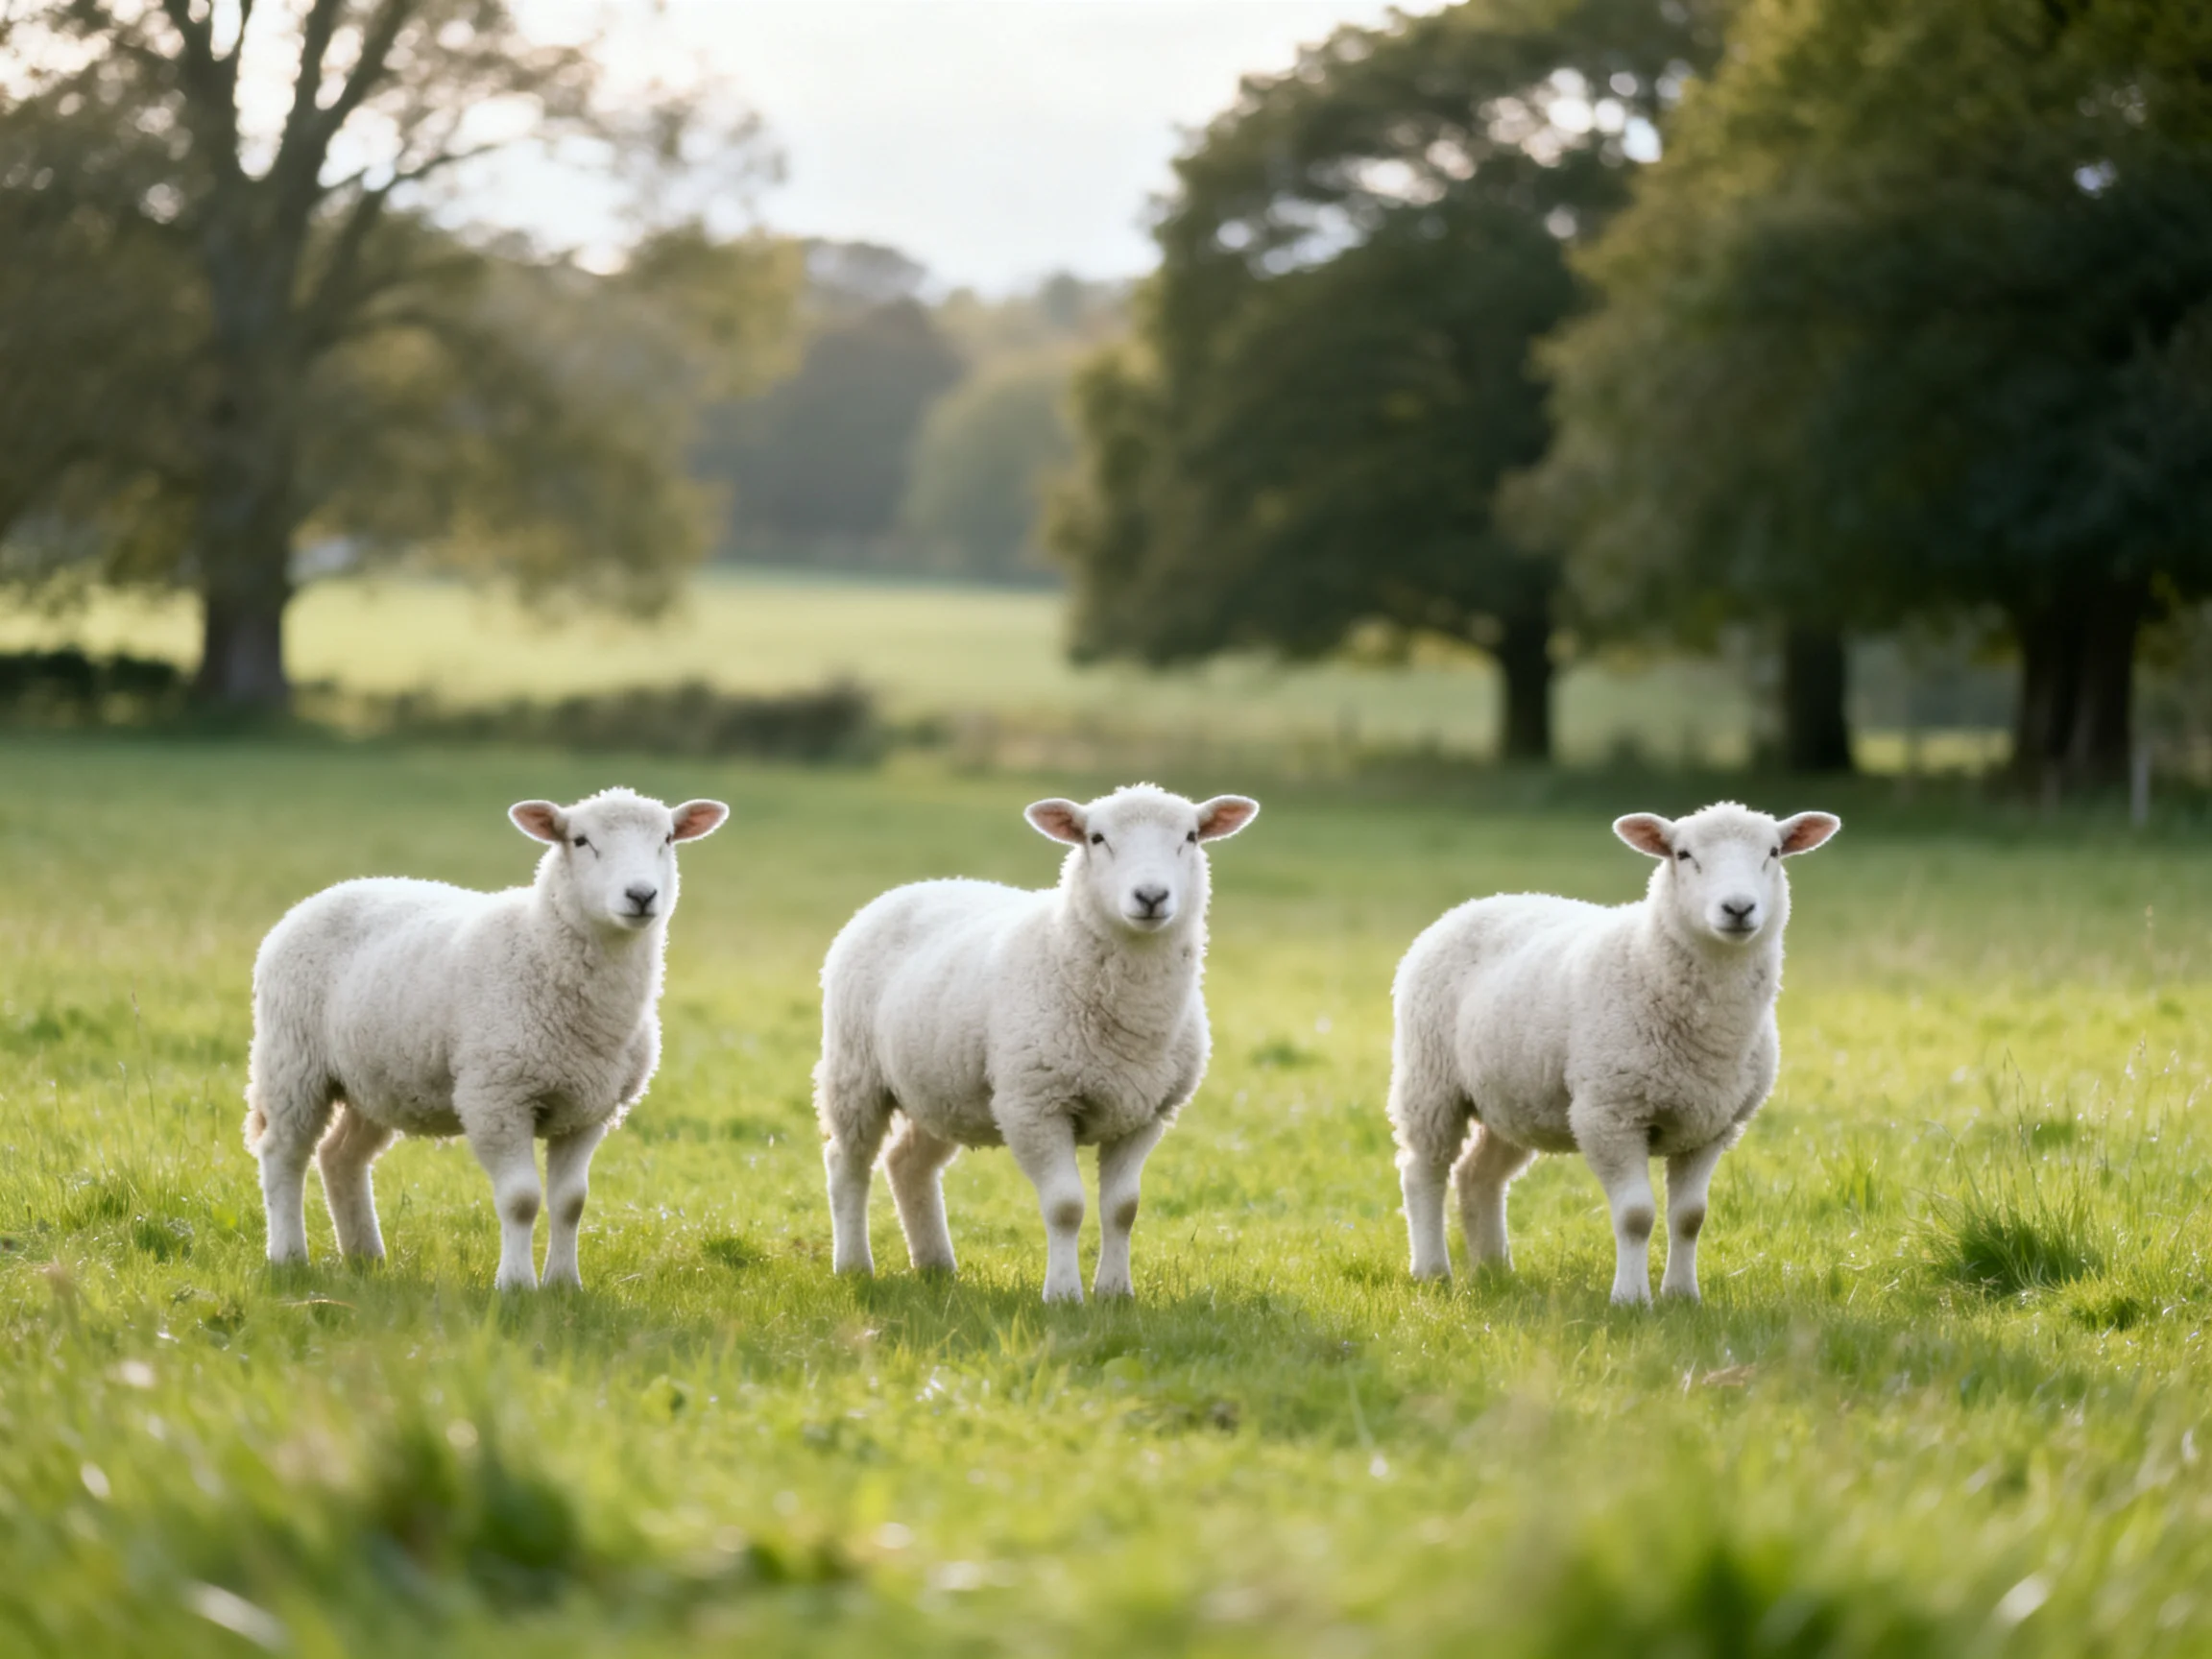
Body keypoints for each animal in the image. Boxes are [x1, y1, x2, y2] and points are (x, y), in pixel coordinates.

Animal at [243, 788, 728, 1290]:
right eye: (580, 840)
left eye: (667, 838)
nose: (641, 895)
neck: (539, 945)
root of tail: (323, 895)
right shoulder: (497, 1098)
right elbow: (521, 1199)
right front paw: (516, 1285)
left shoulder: (588, 1109)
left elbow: (571, 1202)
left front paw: (564, 1285)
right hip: (292, 1060)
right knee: (283, 1152)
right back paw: (288, 1256)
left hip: (374, 1078)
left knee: (340, 1156)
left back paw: (365, 1257)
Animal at [814, 784, 1259, 1303]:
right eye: (1096, 838)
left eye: (1190, 837)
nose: (1151, 896)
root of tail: (912, 887)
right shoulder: (1034, 1104)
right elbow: (1066, 1206)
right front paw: (1063, 1295)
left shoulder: (1146, 1114)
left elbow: (1123, 1208)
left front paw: (1115, 1292)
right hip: (854, 1071)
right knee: (847, 1163)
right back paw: (853, 1265)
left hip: (941, 1088)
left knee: (907, 1164)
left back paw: (936, 1265)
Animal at [1388, 801, 1840, 1305]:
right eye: (1683, 854)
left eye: (1774, 852)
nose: (1738, 908)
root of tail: (1478, 902)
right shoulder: (1609, 1114)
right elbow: (1636, 1215)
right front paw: (1630, 1299)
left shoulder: (1712, 1126)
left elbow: (1690, 1217)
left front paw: (1682, 1296)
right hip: (1430, 1081)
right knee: (1423, 1170)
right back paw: (1432, 1270)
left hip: (1514, 1097)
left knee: (1477, 1174)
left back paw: (1494, 1269)